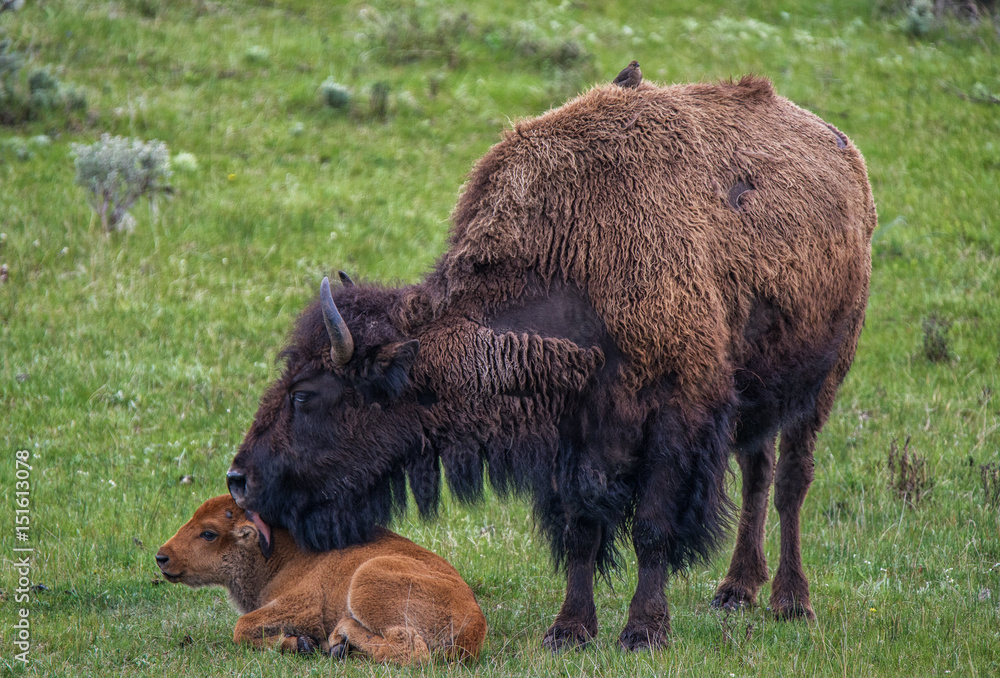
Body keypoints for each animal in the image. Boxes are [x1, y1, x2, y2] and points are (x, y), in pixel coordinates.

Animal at [227, 76, 876, 651]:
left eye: (306, 393)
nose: (239, 478)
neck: (575, 262)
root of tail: (842, 150)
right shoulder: (571, 440)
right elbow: (582, 532)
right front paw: (569, 631)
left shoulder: (674, 420)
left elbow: (653, 529)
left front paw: (644, 632)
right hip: (760, 398)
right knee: (758, 471)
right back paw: (736, 590)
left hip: (821, 384)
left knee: (791, 481)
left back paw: (791, 601)